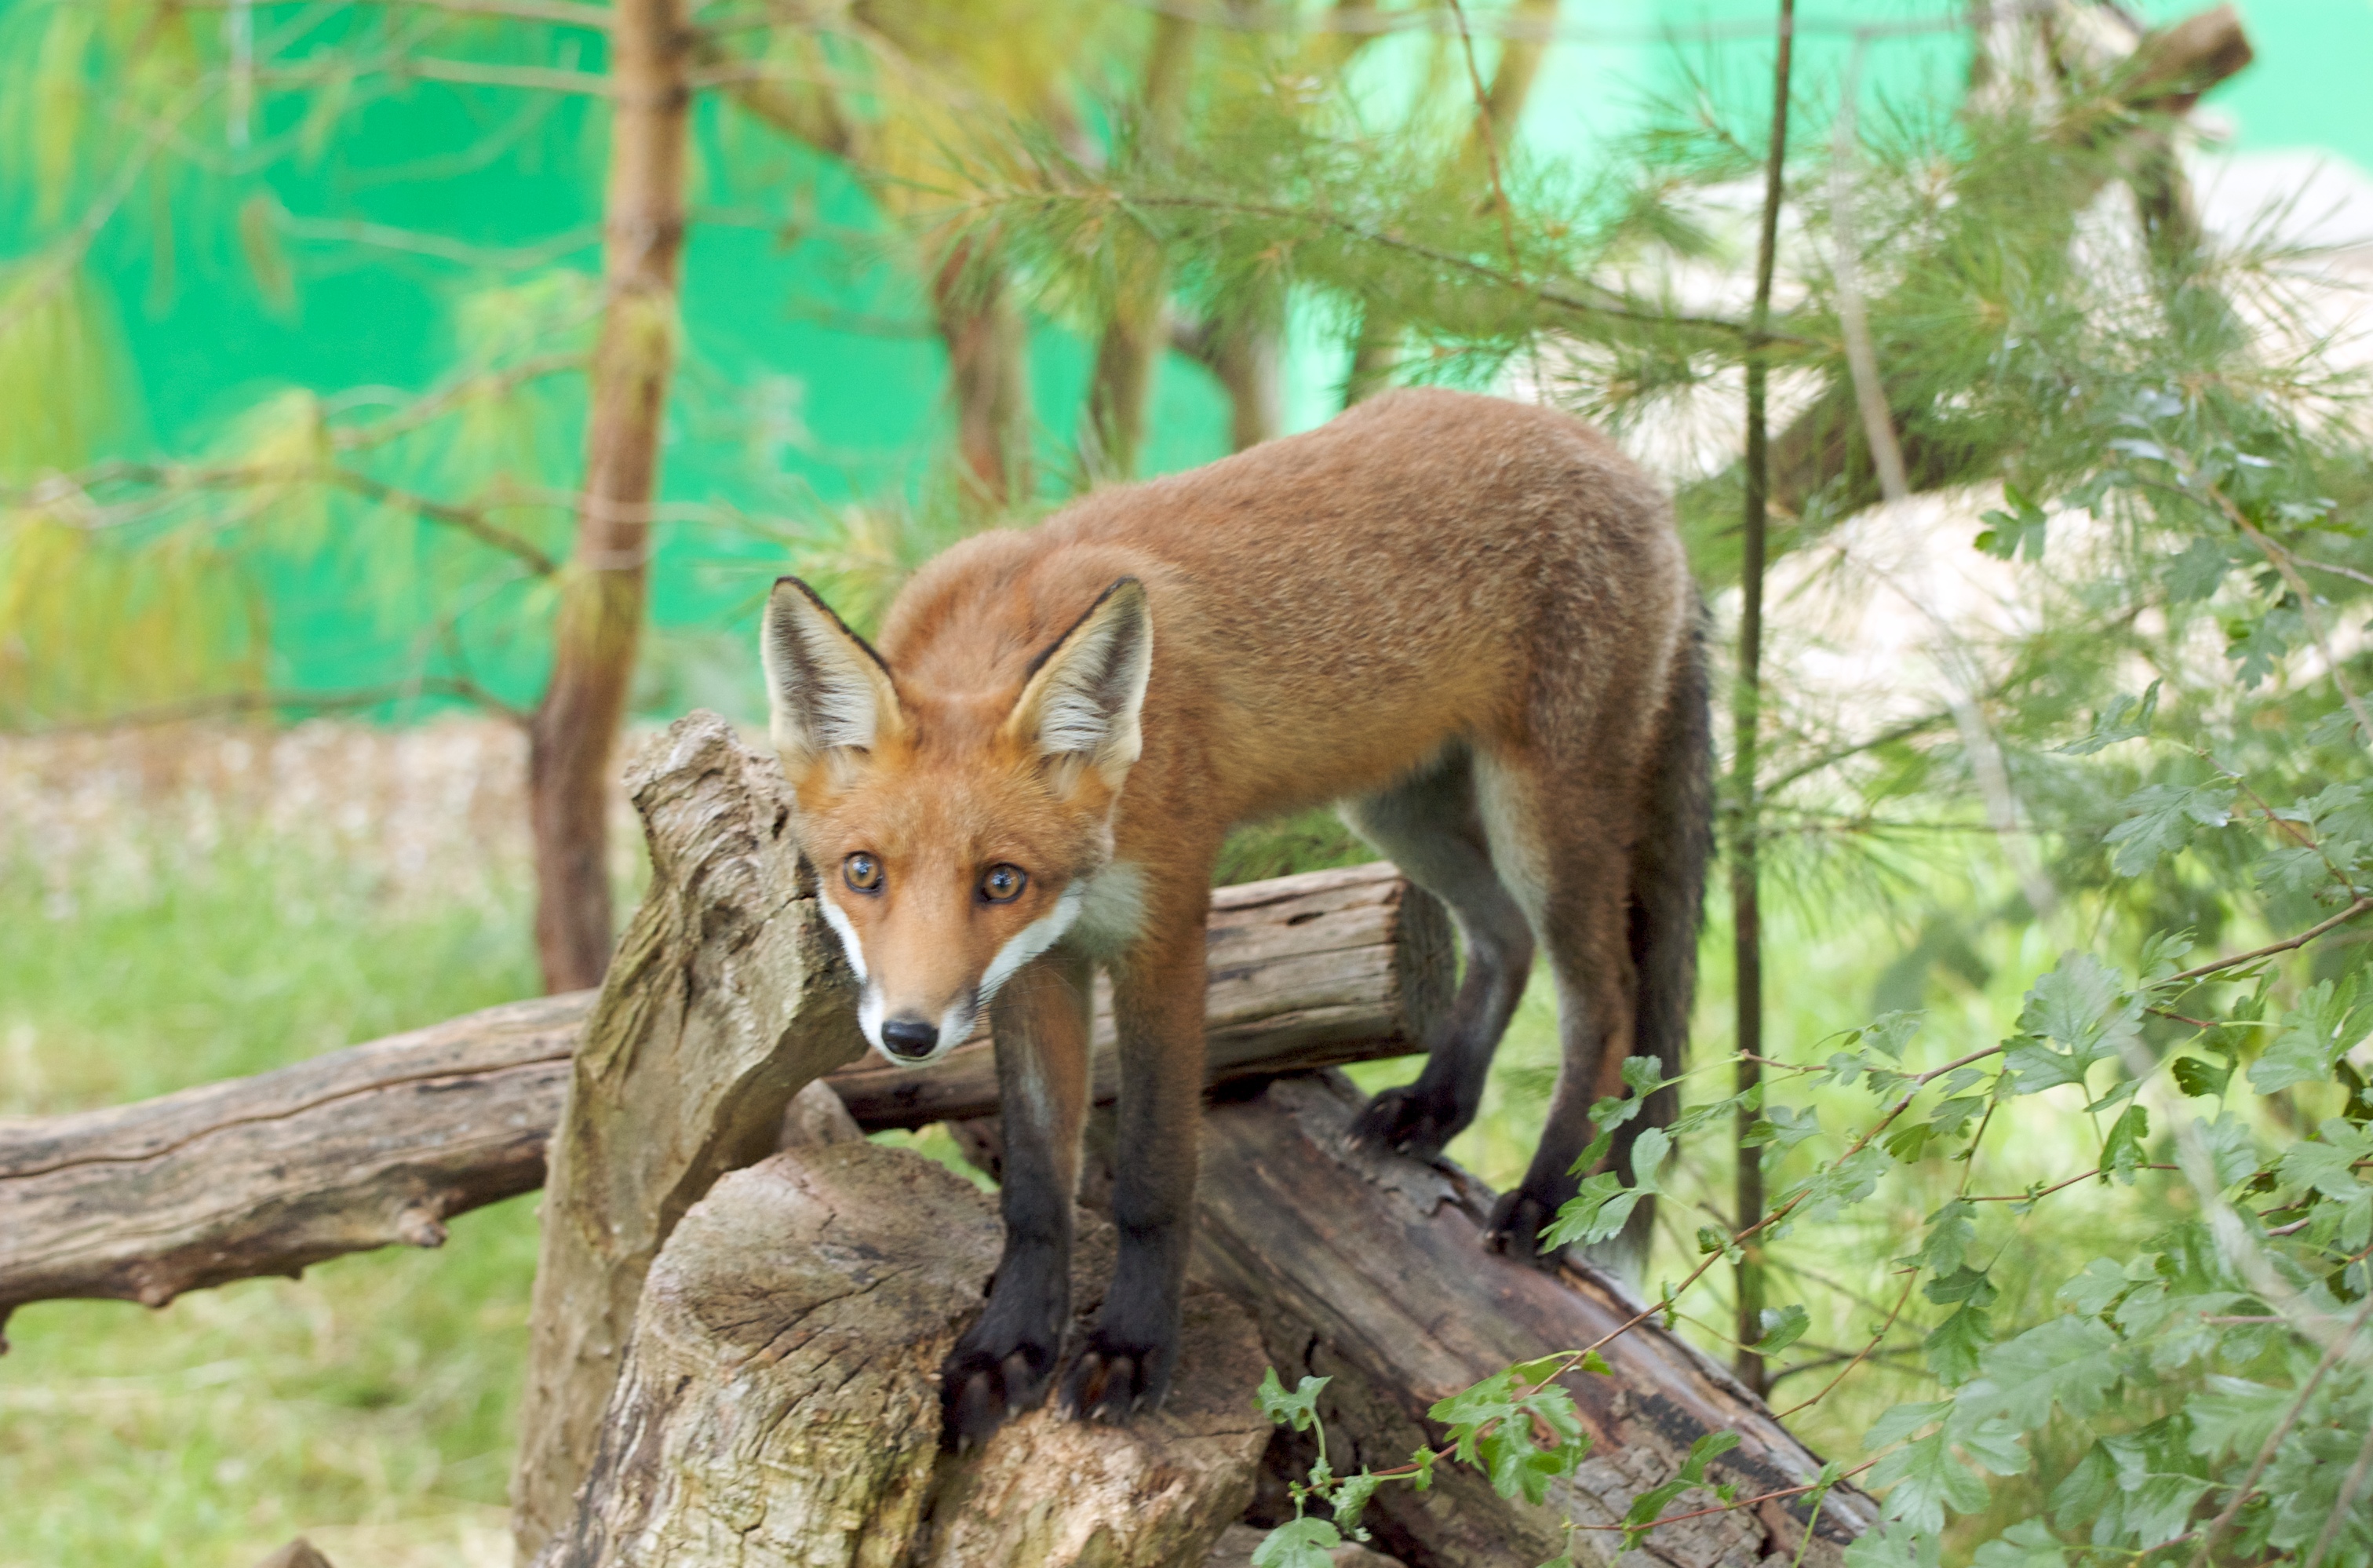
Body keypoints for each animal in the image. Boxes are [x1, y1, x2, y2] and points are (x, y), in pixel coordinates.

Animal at [759, 388, 1708, 1442]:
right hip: (1400, 803)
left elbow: (1151, 1177)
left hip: (1540, 811)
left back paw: (1548, 1197)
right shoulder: (1039, 965)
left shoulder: (1163, 934)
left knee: (1605, 998)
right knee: (1501, 939)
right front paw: (1010, 1348)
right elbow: (1037, 1192)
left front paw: (1131, 1347)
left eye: (1000, 881)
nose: (910, 1035)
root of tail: (1630, 466)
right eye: (863, 872)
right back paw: (1435, 1106)